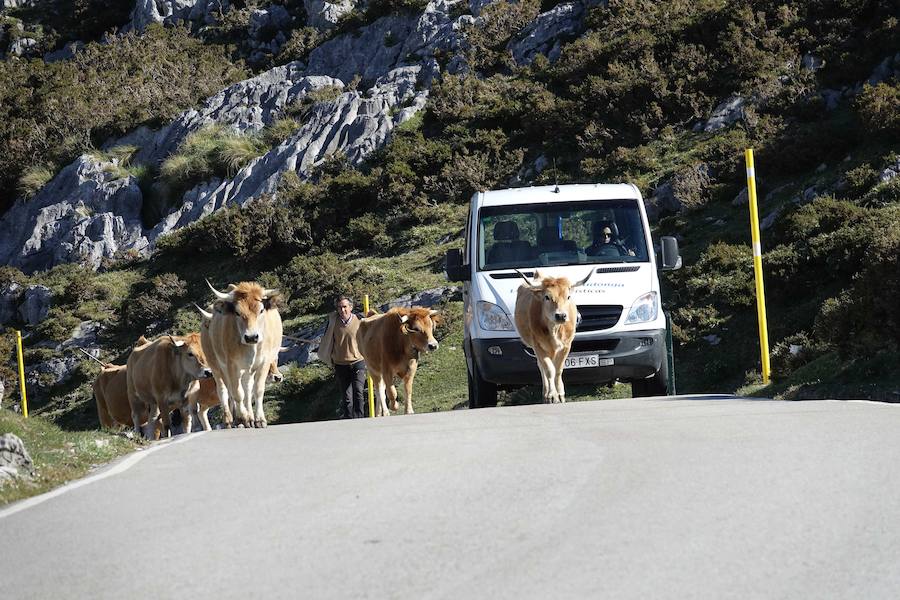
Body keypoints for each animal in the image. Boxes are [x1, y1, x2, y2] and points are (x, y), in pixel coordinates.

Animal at [202, 278, 284, 428]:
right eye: (237, 313)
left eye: (261, 310)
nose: (251, 337)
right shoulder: (231, 365)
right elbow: (237, 393)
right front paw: (242, 418)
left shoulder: (263, 363)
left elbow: (257, 390)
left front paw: (259, 419)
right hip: (216, 367)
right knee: (224, 391)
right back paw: (231, 420)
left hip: (247, 370)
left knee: (247, 389)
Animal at [512, 270, 592, 404]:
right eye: (547, 297)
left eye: (568, 297)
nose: (561, 315)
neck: (554, 329)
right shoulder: (538, 346)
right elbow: (549, 370)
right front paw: (552, 395)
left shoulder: (566, 346)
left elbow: (558, 370)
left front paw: (560, 394)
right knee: (542, 367)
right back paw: (545, 393)